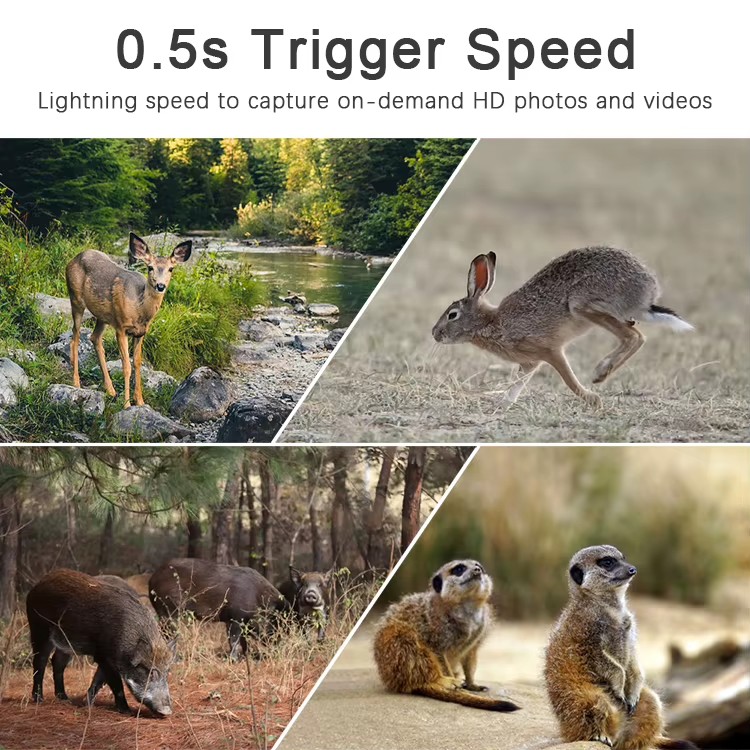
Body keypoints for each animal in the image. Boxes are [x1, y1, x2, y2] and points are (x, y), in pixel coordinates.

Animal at [65, 233, 192, 408]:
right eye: (150, 267)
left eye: (171, 269)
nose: (160, 286)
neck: (139, 309)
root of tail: (74, 259)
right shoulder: (121, 327)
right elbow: (126, 366)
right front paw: (126, 405)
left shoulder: (141, 333)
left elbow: (137, 363)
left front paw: (140, 401)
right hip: (75, 299)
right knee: (75, 338)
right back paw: (76, 383)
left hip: (103, 316)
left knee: (94, 338)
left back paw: (111, 390)